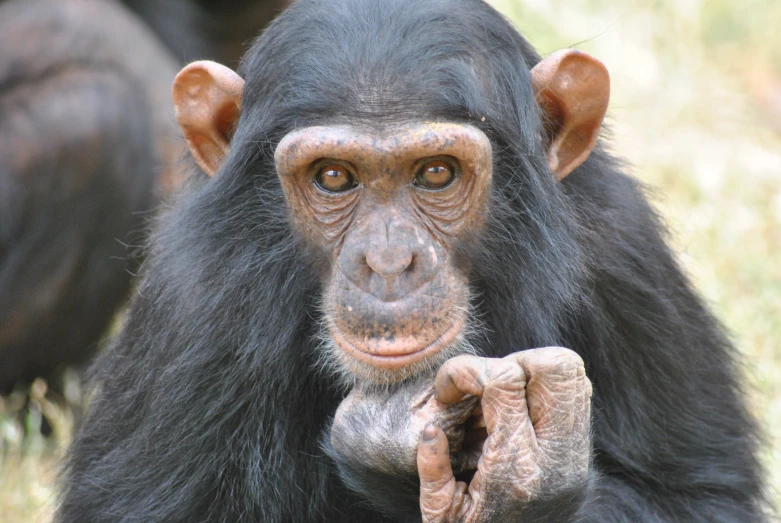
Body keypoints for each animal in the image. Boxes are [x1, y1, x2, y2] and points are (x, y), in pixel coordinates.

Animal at [58, 1, 764, 523]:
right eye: (333, 177)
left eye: (436, 173)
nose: (389, 261)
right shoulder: (194, 296)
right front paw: (391, 435)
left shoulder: (625, 254)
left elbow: (697, 496)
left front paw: (517, 484)